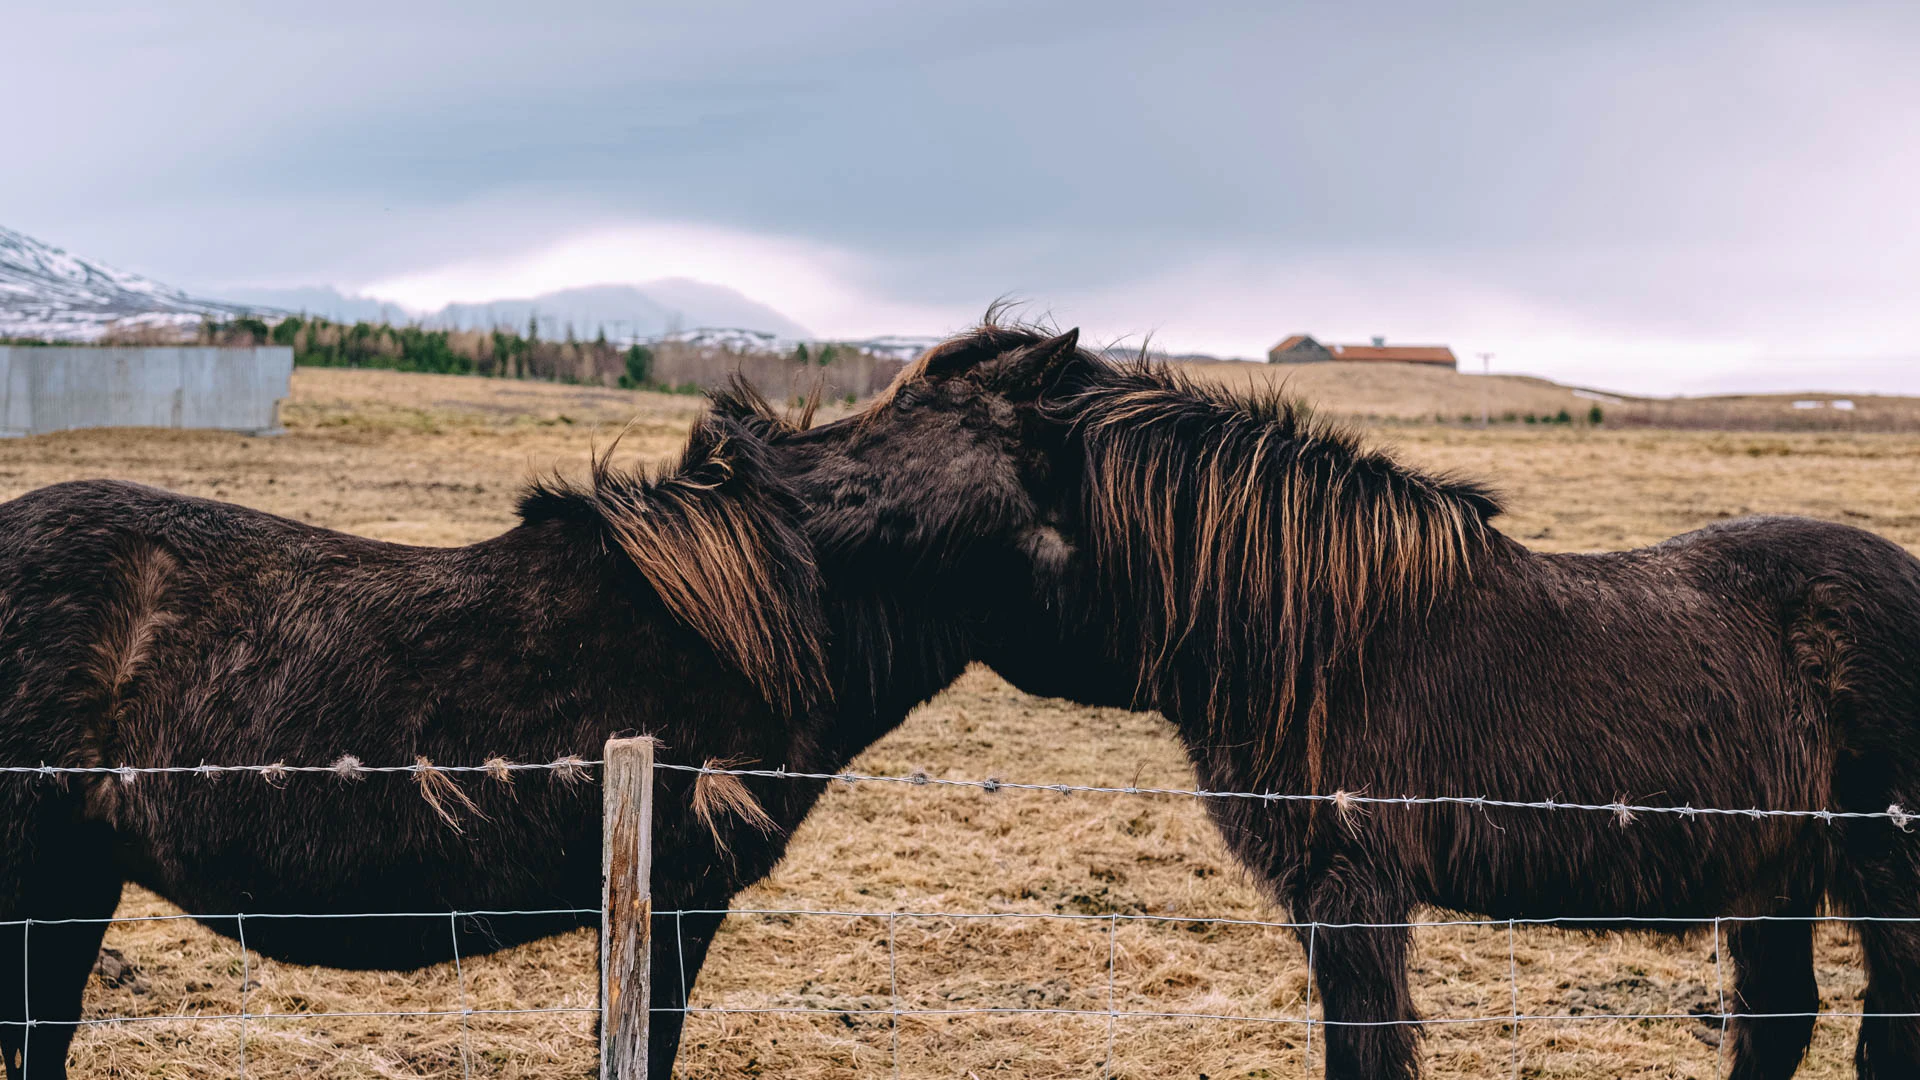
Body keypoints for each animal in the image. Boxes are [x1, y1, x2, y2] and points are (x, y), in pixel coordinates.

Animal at [796, 322, 1920, 1080]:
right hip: (1771, 876)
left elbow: (1368, 1052)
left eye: (915, 416)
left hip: (1880, 876)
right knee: (1778, 1022)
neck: (1311, 635)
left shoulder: (1354, 894)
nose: (785, 474)